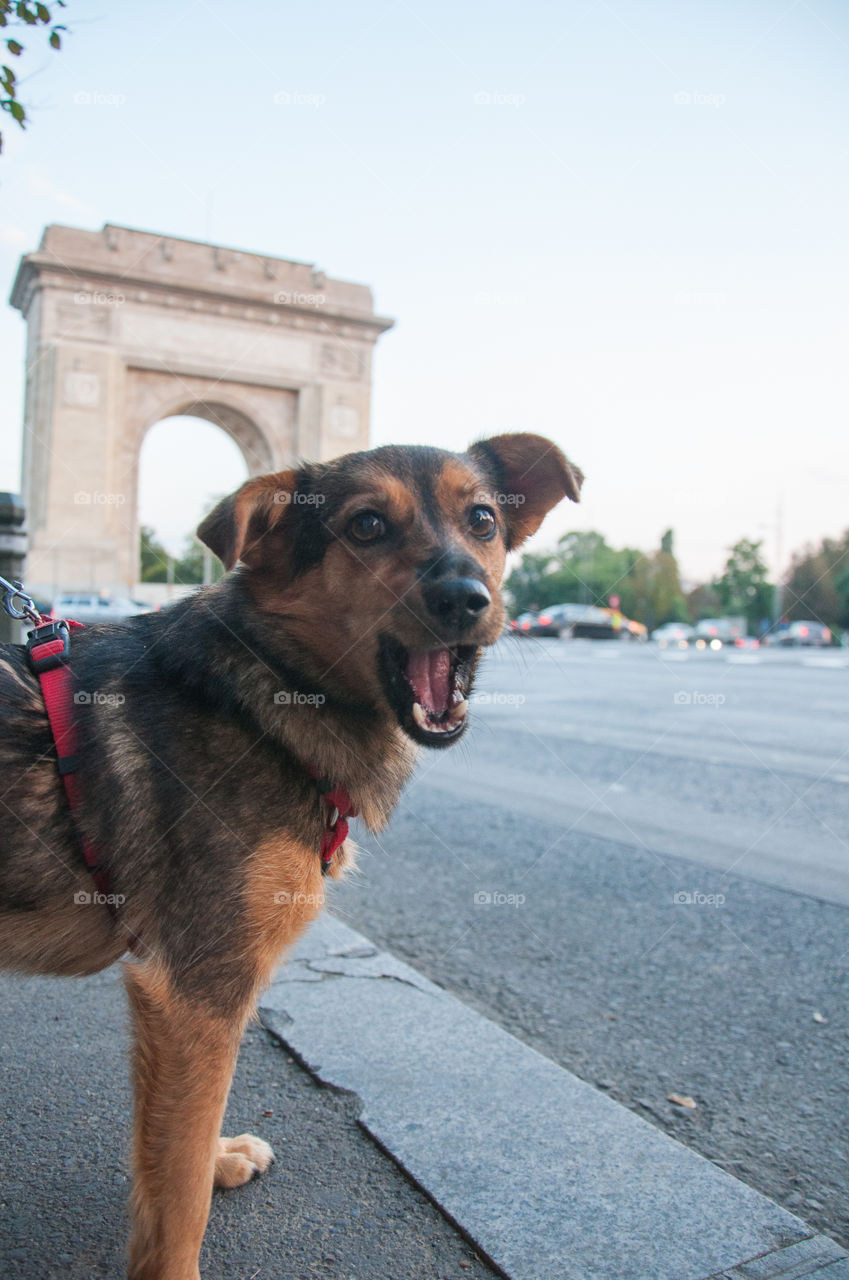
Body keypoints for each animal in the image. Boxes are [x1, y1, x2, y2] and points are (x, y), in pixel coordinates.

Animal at [0, 432, 581, 1280]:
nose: (464, 599)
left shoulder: (190, 1005)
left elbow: (171, 1145)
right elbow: (178, 1203)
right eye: (366, 525)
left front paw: (211, 1155)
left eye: (481, 519)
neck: (265, 692)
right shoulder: (193, 990)